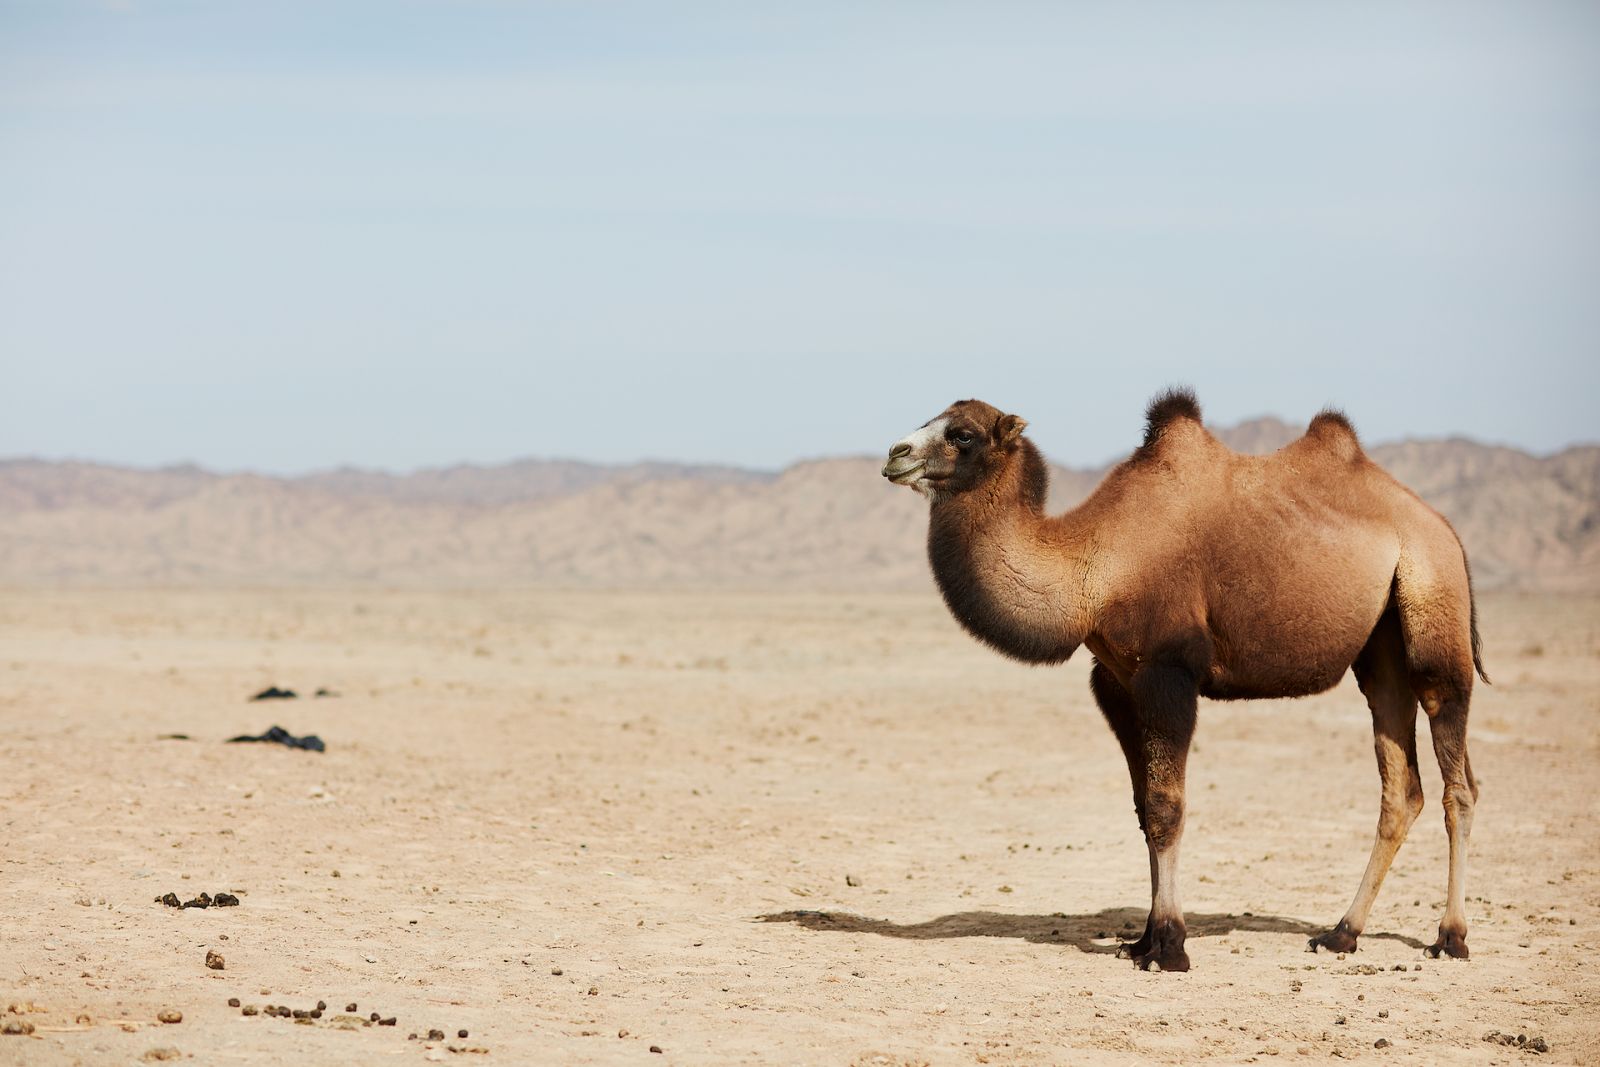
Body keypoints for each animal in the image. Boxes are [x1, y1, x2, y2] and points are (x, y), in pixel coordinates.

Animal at [881, 390, 1486, 972]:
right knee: (1401, 783)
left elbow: (1167, 806)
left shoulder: (1168, 672)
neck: (1094, 567)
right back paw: (1341, 934)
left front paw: (1170, 948)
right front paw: (1142, 941)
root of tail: (1447, 530)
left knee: (1457, 776)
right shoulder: (1117, 683)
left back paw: (1450, 938)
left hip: (1433, 608)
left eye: (962, 434)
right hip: (1380, 648)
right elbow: (1143, 807)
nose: (895, 454)